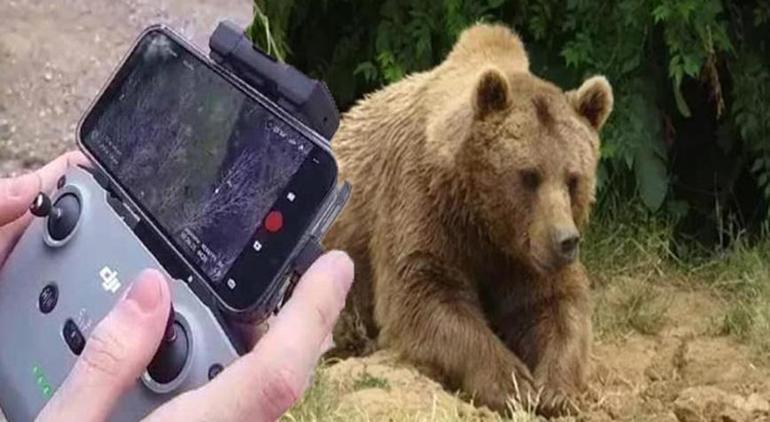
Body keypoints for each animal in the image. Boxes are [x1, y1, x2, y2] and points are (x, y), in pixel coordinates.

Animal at [324, 22, 612, 416]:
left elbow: (556, 304)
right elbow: (425, 296)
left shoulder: (525, 255)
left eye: (573, 178)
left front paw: (556, 389)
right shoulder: (421, 202)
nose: (565, 241)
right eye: (529, 175)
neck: (485, 222)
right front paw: (514, 384)